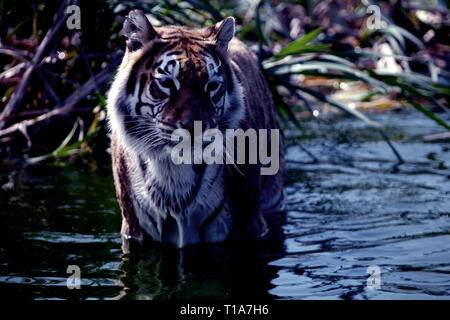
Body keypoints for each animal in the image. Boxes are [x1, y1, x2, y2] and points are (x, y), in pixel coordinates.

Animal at [106, 8, 284, 248]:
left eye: (212, 86)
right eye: (167, 83)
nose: (195, 127)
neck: (173, 171)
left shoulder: (250, 225)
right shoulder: (134, 229)